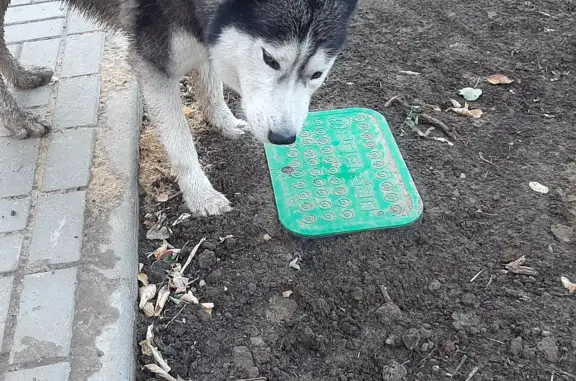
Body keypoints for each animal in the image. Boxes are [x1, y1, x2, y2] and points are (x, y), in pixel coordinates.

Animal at [1, 0, 356, 214]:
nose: (283, 138)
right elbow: (180, 143)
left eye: (317, 75)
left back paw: (22, 76)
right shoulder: (152, 64)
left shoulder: (204, 35)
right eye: (270, 59)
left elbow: (210, 86)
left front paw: (223, 121)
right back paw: (17, 117)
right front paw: (200, 194)